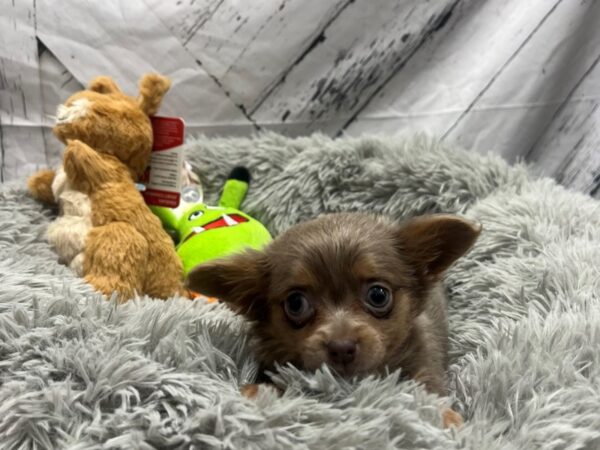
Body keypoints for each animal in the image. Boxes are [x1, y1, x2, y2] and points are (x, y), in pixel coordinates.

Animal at [185, 213, 480, 428]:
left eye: (378, 295)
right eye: (296, 303)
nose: (342, 347)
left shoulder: (423, 362)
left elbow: (428, 391)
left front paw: (443, 417)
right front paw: (259, 392)